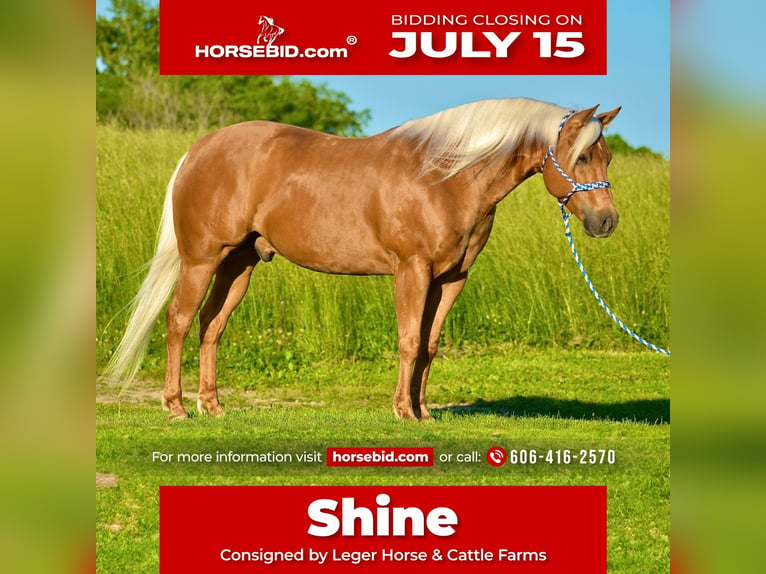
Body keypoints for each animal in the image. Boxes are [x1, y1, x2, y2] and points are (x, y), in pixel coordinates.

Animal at [108, 98, 624, 424]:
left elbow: (430, 345)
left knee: (211, 325)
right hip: (201, 260)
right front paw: (402, 412)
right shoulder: (412, 271)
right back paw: (175, 407)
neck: (446, 176)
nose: (606, 222)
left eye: (608, 157)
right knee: (178, 320)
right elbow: (408, 342)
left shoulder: (452, 279)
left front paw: (424, 412)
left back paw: (212, 407)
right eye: (580, 158)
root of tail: (200, 148)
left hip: (240, 264)